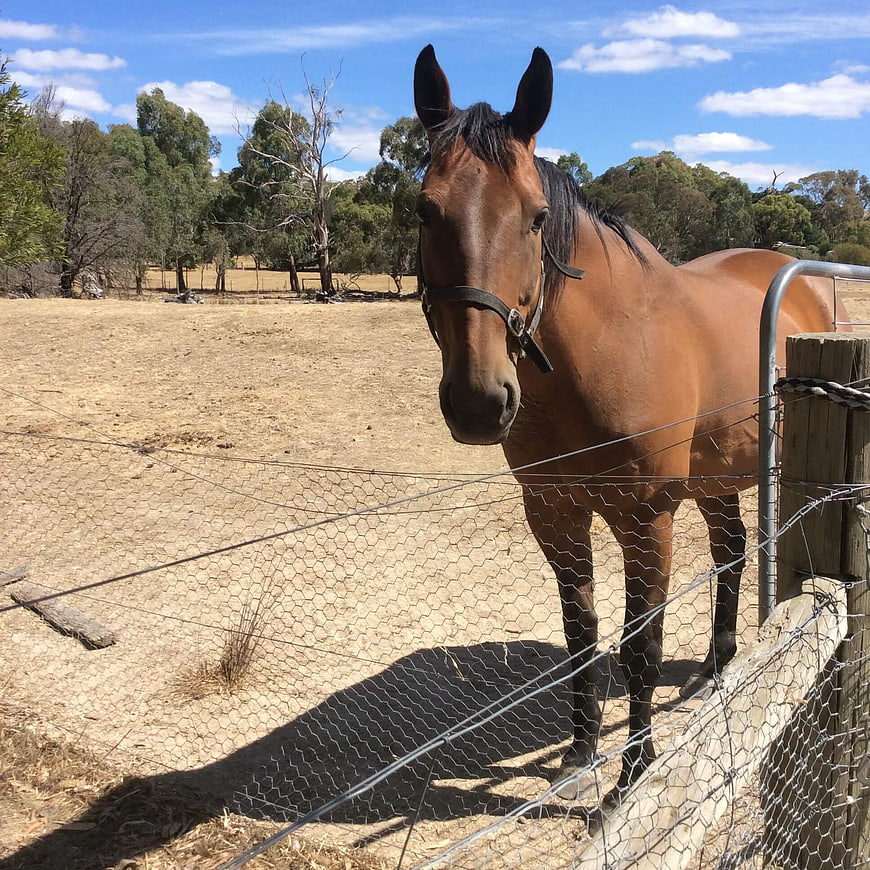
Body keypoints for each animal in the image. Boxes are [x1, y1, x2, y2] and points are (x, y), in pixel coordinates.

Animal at [413, 44, 845, 805]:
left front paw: (634, 773)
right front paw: (582, 753)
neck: (601, 357)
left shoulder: (647, 519)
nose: (478, 400)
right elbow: (582, 633)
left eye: (535, 216)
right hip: (715, 476)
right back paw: (717, 666)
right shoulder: (554, 513)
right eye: (424, 209)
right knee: (731, 551)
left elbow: (639, 645)